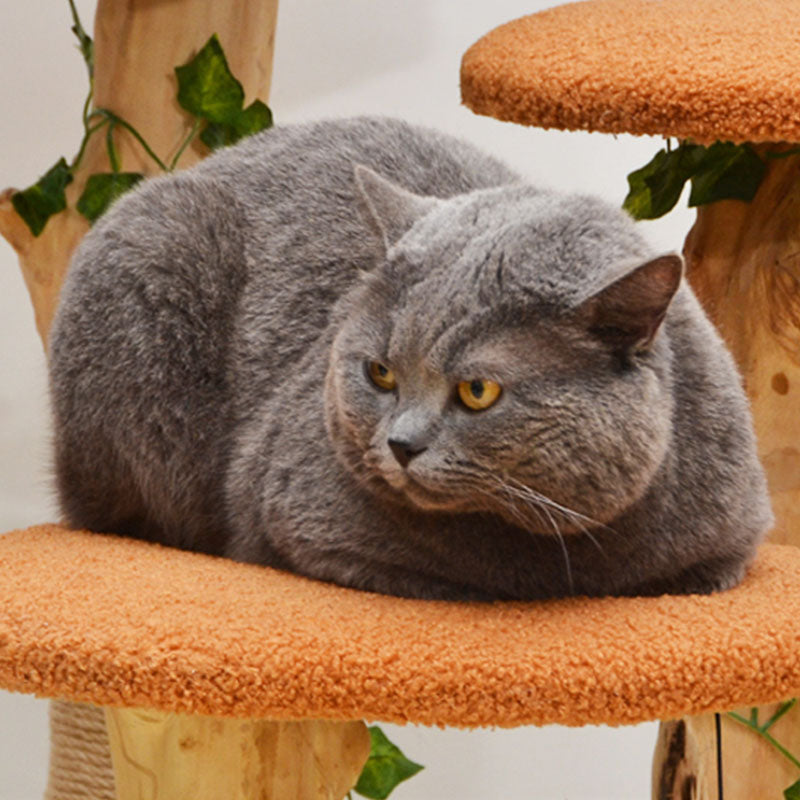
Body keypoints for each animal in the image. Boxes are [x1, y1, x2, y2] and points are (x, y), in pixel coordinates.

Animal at [47, 117, 772, 600]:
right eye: (381, 373)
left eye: (478, 391)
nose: (399, 444)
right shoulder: (304, 519)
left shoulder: (733, 536)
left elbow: (700, 575)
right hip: (155, 250)